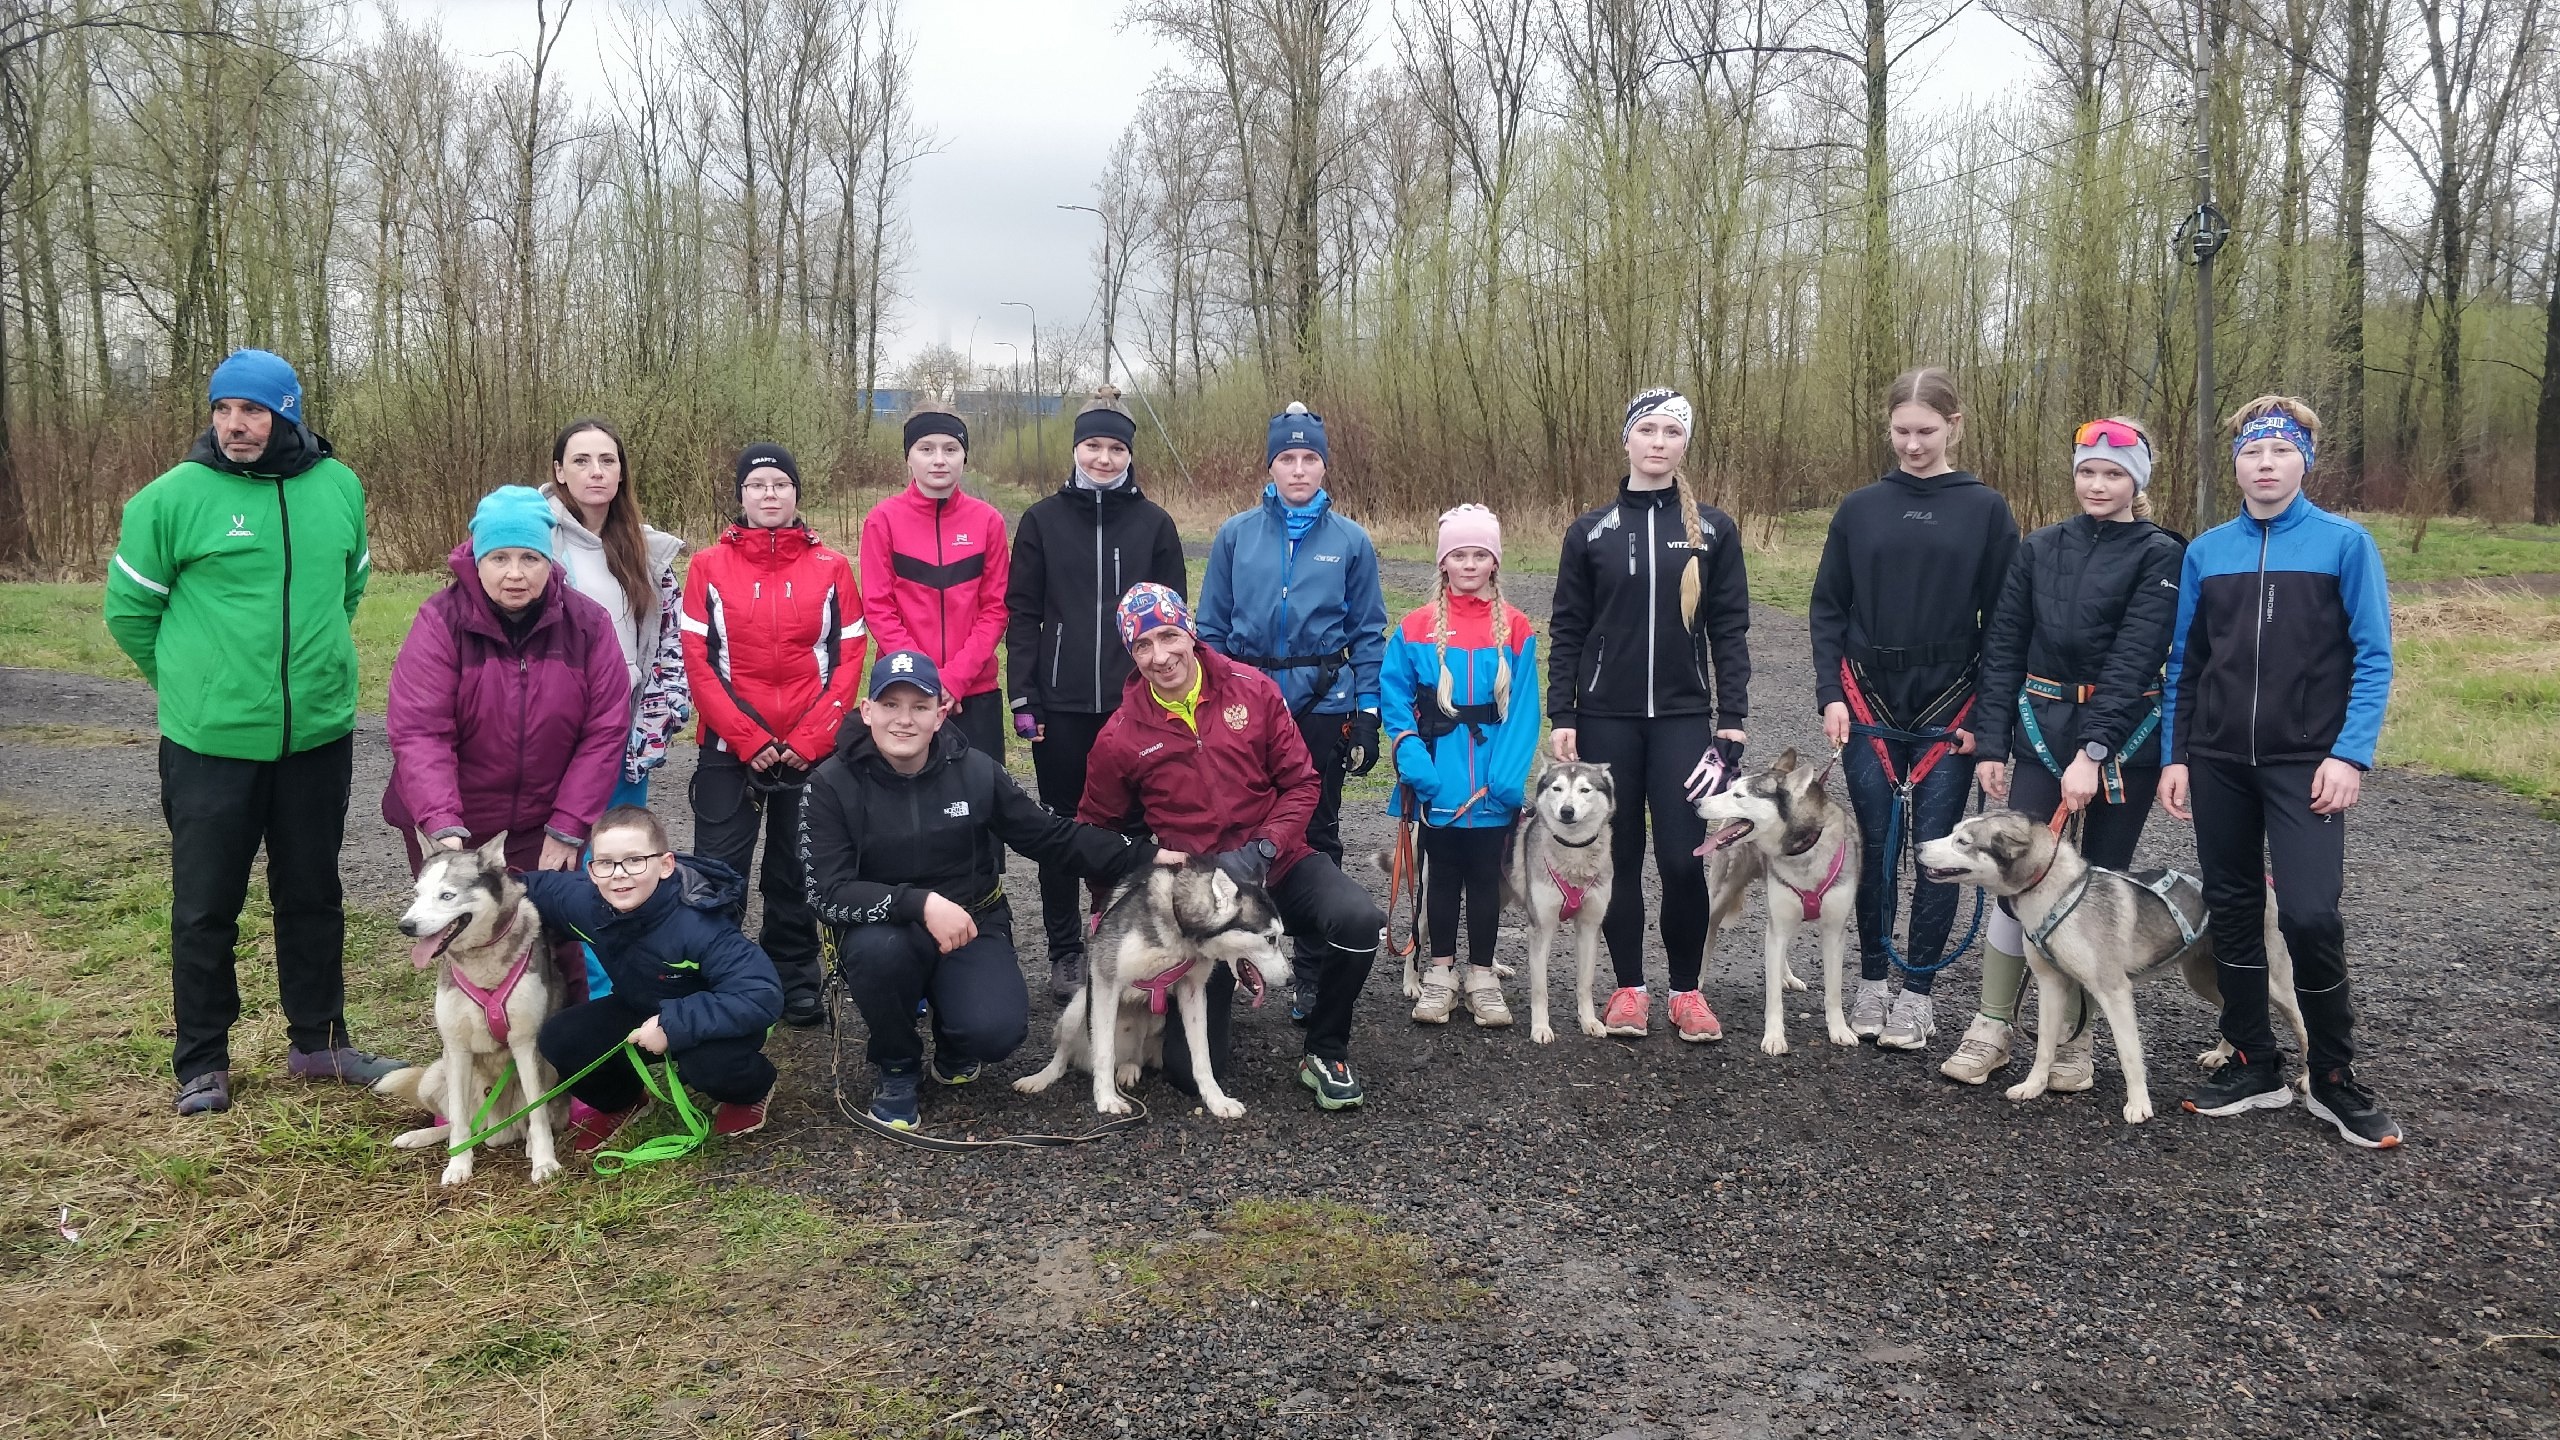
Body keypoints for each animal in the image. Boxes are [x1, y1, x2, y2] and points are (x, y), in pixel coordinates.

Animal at [376, 834, 565, 1185]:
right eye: (417, 894)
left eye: (447, 896)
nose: (406, 926)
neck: (481, 961)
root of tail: (496, 1126)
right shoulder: (457, 1049)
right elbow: (460, 1124)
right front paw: (458, 1165)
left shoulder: (526, 1044)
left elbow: (538, 1114)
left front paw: (544, 1161)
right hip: (435, 1076)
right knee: (459, 1122)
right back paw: (418, 1137)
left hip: (551, 1068)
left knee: (530, 1119)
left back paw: (529, 1144)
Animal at [1014, 859, 1290, 1120]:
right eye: (1270, 938)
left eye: (1280, 936)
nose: (1291, 978)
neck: (1179, 923)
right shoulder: (1104, 980)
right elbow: (1103, 1052)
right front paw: (1106, 1098)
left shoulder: (1192, 990)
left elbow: (1202, 1056)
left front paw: (1217, 1100)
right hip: (1079, 1007)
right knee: (1064, 1056)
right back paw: (1040, 1079)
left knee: (1133, 1055)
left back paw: (1129, 1067)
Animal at [1501, 761, 1619, 1044]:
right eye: (1557, 788)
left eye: (1585, 790)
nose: (1567, 811)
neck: (1574, 852)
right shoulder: (1541, 928)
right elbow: (1540, 989)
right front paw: (1540, 1028)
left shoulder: (1589, 927)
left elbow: (1585, 983)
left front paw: (1589, 1021)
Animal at [1694, 748, 1860, 1056]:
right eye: (1731, 788)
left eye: (1739, 795)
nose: (1697, 802)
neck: (1802, 849)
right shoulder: (1779, 925)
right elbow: (1773, 999)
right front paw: (1773, 1037)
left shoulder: (1833, 932)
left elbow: (1833, 991)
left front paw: (1839, 1030)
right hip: (1720, 895)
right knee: (1708, 933)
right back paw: (1696, 980)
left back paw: (1788, 976)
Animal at [1917, 811, 2310, 1124]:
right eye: (1954, 832)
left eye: (1963, 841)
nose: (1919, 846)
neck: (2058, 893)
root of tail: (2263, 881)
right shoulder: (2051, 984)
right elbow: (2045, 1046)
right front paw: (2034, 1086)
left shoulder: (2114, 990)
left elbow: (2129, 1054)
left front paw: (2139, 1105)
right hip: (2205, 978)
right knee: (2235, 1007)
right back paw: (2223, 1054)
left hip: (2274, 983)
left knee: (2302, 1025)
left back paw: (2308, 1080)